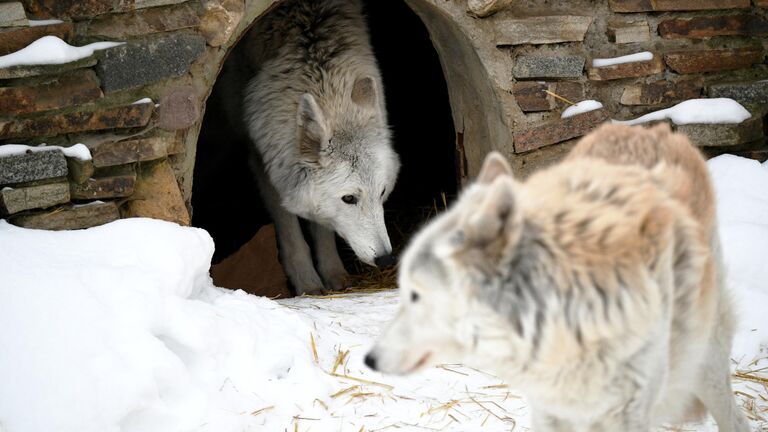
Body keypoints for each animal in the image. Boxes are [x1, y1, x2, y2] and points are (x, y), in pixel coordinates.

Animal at [214, 0, 400, 296]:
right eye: (349, 198)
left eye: (382, 192)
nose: (386, 258)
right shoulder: (262, 159)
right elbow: (289, 227)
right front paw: (306, 282)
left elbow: (322, 226)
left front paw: (333, 273)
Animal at [366, 123, 752, 430]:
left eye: (415, 295)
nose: (369, 359)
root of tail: (649, 128)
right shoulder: (550, 409)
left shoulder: (627, 414)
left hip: (704, 363)